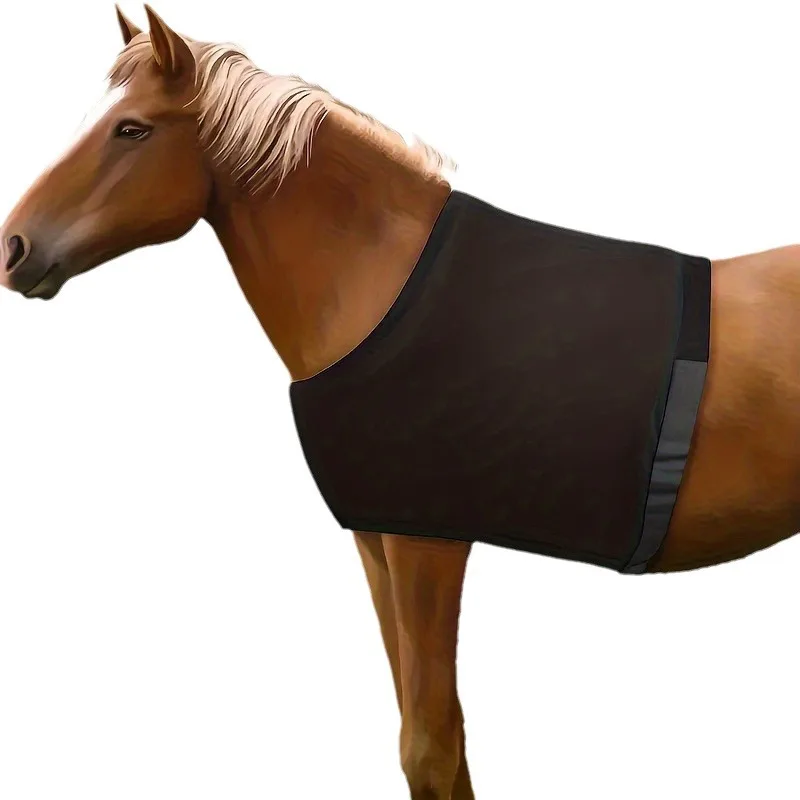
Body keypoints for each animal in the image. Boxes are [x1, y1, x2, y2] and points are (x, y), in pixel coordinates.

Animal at [3, 5, 800, 799]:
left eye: (131, 129)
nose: (14, 247)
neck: (380, 287)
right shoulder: (377, 541)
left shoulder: (427, 544)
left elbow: (430, 747)